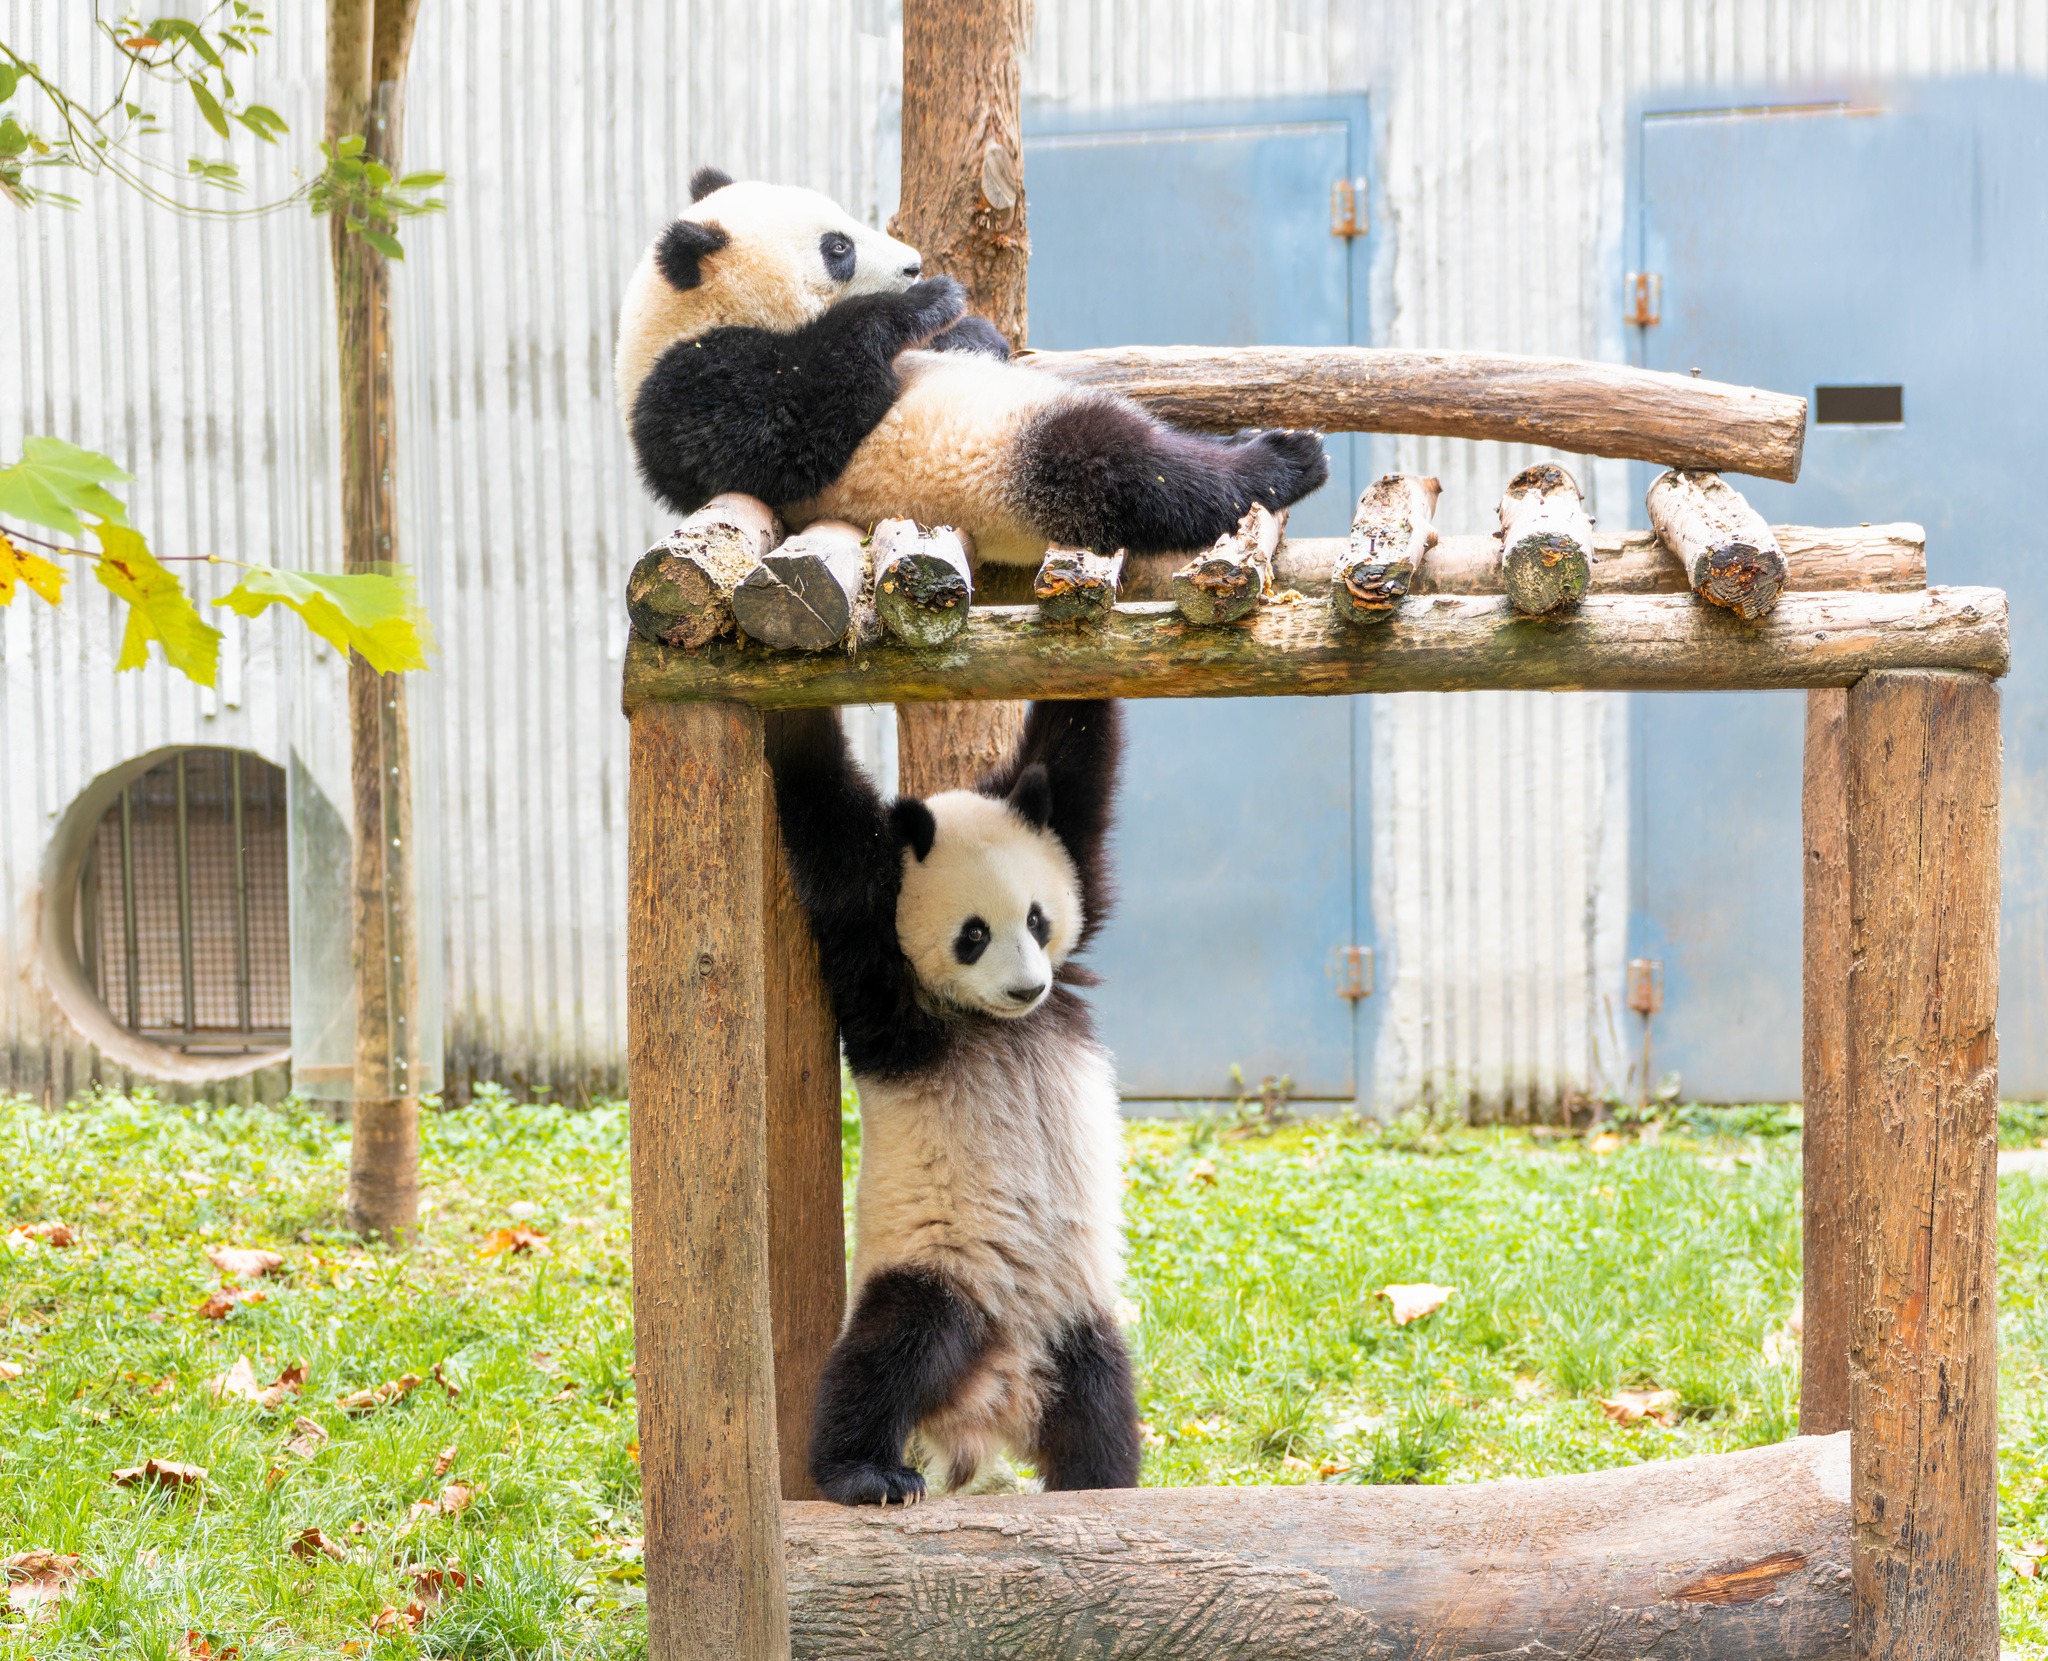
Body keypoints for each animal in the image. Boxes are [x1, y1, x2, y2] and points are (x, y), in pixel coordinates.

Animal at [610, 163, 1327, 565]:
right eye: (838, 248)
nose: (911, 264)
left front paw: (971, 329)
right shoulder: (689, 387)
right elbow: (784, 435)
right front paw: (928, 301)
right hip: (1022, 460)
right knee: (1128, 470)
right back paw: (1282, 459)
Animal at [770, 696, 1146, 1499]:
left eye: (1037, 919)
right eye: (973, 934)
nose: (1028, 988)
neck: (989, 1020)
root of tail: (990, 1400)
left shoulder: (1071, 853)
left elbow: (1076, 763)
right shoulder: (881, 975)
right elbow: (831, 836)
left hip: (1073, 1316)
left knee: (1101, 1401)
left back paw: (1101, 1482)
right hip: (944, 1266)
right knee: (891, 1350)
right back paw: (866, 1472)